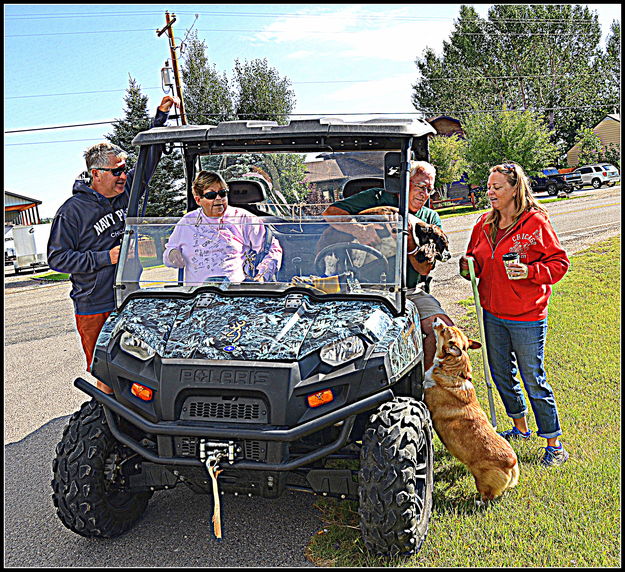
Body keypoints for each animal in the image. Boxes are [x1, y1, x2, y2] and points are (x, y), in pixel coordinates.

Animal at [424, 318, 516, 500]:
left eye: (443, 330)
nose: (436, 319)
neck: (453, 370)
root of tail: (512, 463)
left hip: (481, 482)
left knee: (488, 496)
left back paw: (478, 501)